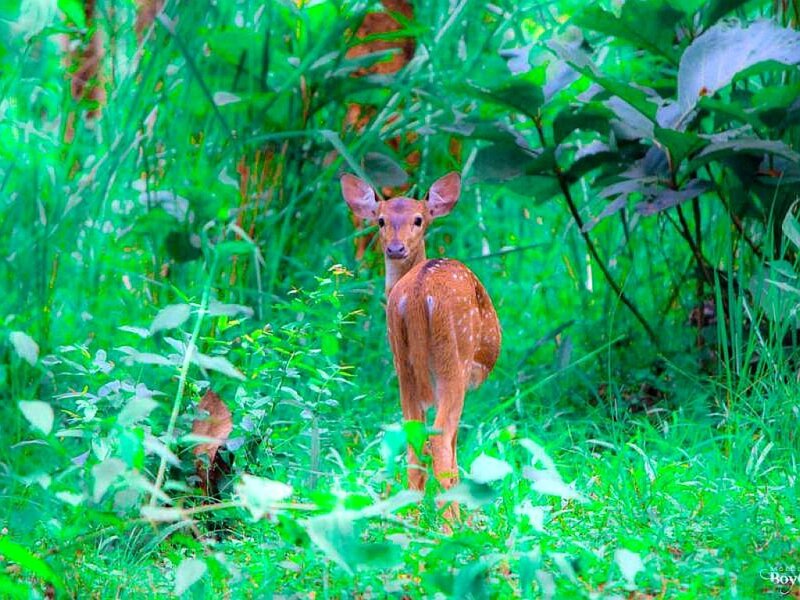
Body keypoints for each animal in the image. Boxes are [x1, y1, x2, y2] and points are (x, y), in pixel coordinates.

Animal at [340, 172, 501, 517]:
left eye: (418, 219)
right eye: (381, 220)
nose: (395, 248)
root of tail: (416, 290)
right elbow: (452, 446)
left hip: (403, 363)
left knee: (414, 438)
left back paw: (408, 520)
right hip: (453, 361)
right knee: (440, 440)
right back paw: (452, 522)